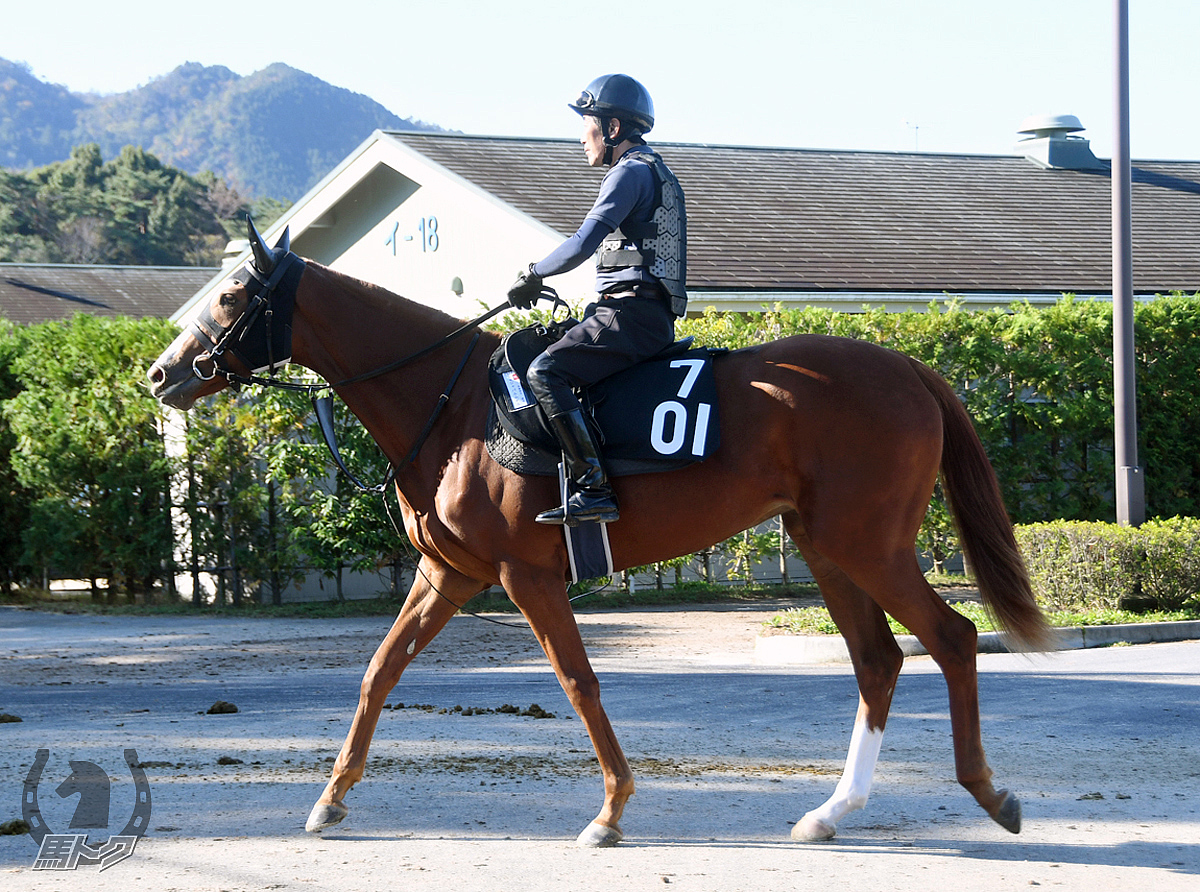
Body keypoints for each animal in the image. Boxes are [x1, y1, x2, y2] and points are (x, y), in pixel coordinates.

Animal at [150, 226, 1046, 849]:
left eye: (231, 297)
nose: (161, 373)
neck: (454, 407)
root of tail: (909, 369)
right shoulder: (448, 575)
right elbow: (378, 674)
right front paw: (329, 799)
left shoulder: (525, 575)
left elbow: (580, 683)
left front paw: (611, 810)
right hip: (830, 548)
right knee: (879, 660)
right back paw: (832, 811)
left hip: (869, 546)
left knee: (950, 637)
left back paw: (988, 793)